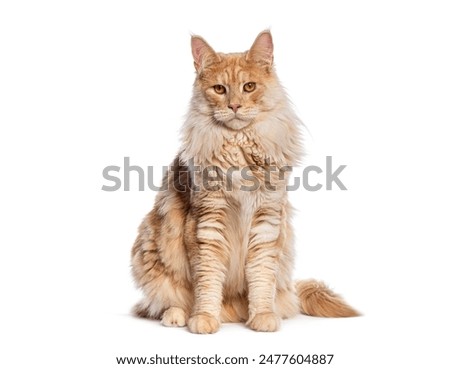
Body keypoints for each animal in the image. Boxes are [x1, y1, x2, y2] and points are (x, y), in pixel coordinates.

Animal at [131, 30, 358, 332]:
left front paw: (262, 316)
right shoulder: (208, 220)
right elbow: (208, 280)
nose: (235, 105)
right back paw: (178, 315)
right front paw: (204, 318)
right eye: (219, 89)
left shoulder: (267, 219)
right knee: (163, 301)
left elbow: (261, 278)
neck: (238, 148)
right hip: (150, 246)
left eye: (249, 87)